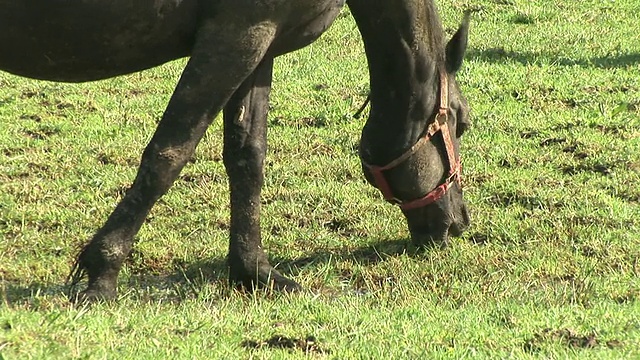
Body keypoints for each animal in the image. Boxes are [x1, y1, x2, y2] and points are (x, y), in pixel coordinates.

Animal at [0, 0, 470, 300]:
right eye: (463, 122)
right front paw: (102, 273)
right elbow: (169, 154)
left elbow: (247, 157)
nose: (458, 223)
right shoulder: (235, 38)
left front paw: (254, 270)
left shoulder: (260, 43)